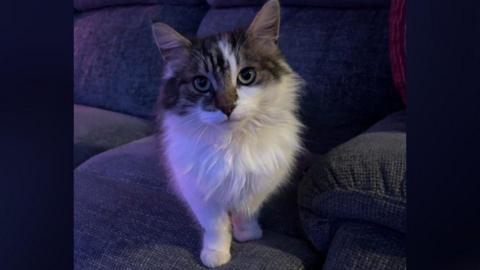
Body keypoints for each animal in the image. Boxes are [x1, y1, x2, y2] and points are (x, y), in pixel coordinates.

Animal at [152, 0, 304, 266]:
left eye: (246, 75)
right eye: (201, 83)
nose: (227, 107)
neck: (233, 141)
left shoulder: (257, 183)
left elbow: (246, 211)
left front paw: (248, 234)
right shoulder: (200, 191)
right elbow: (217, 226)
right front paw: (215, 255)